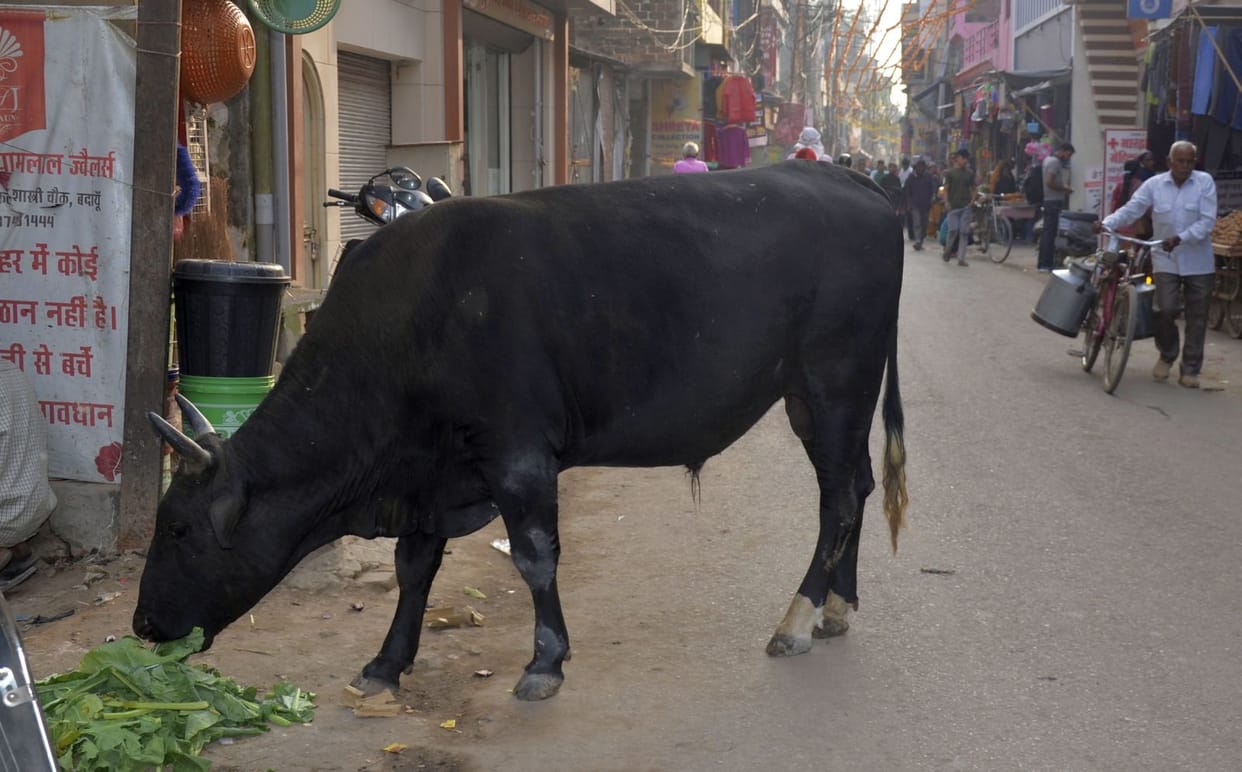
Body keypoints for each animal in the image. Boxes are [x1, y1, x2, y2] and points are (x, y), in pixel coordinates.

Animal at [136, 160, 908, 702]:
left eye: (177, 529)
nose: (142, 627)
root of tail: (848, 178)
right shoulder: (431, 469)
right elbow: (414, 566)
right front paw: (387, 662)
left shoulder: (517, 452)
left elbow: (535, 556)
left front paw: (545, 661)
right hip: (818, 398)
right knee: (860, 486)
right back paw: (838, 605)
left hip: (835, 381)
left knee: (839, 499)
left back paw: (798, 619)